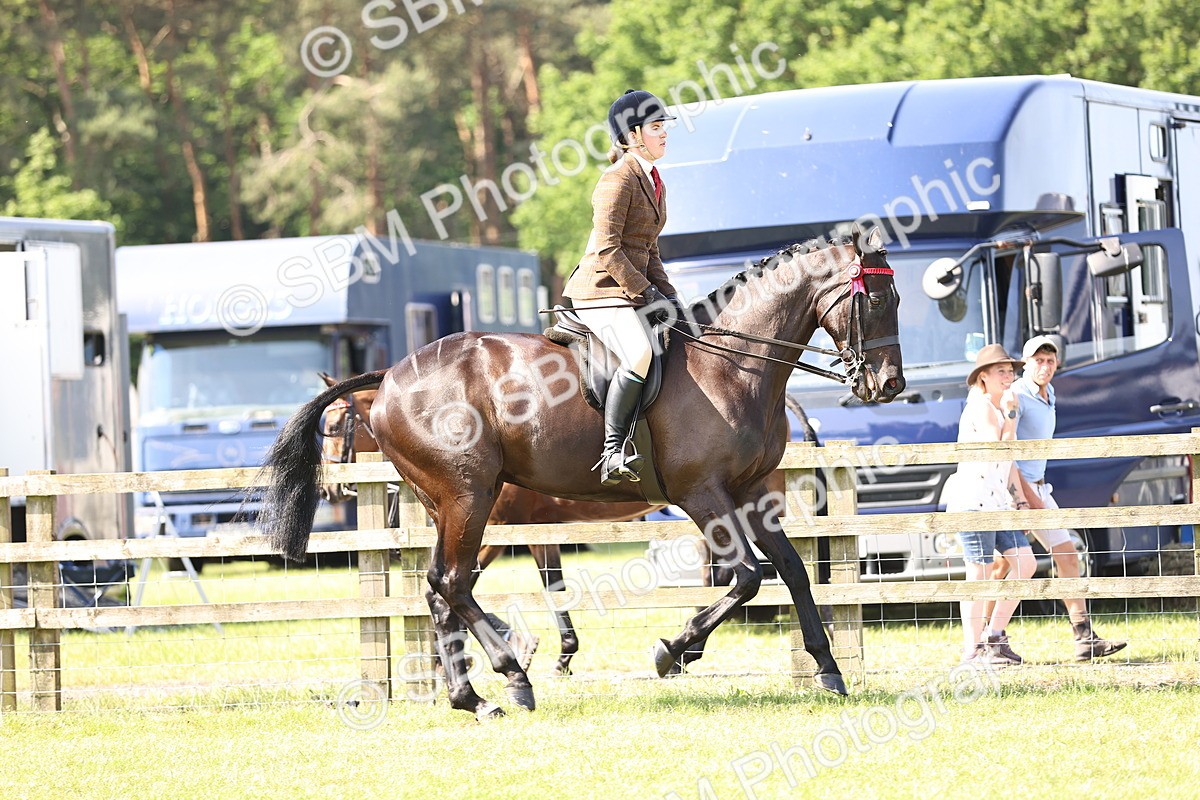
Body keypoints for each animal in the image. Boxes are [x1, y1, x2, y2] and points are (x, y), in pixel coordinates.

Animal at [316, 375, 821, 676]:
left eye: (337, 425)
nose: (331, 491)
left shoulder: (504, 529)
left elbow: (506, 585)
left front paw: (537, 650)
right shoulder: (529, 531)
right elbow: (544, 585)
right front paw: (547, 649)